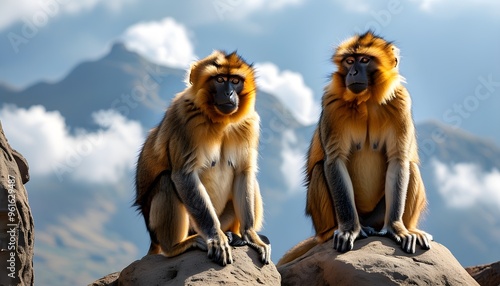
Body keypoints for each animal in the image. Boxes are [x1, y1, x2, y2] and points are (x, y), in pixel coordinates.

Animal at [134, 50, 270, 266]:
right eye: (220, 79)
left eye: (235, 81)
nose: (229, 93)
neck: (221, 121)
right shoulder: (184, 119)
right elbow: (184, 174)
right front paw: (216, 238)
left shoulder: (249, 124)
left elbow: (243, 172)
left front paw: (250, 235)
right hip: (184, 227)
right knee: (165, 181)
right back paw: (177, 246)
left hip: (226, 219)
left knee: (250, 179)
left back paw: (235, 236)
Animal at [278, 31, 434, 266]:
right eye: (350, 61)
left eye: (364, 60)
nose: (352, 72)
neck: (367, 100)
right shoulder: (331, 102)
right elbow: (334, 160)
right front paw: (351, 230)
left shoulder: (400, 101)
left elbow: (398, 160)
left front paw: (397, 227)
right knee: (320, 168)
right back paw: (333, 231)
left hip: (378, 217)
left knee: (410, 167)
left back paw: (411, 229)